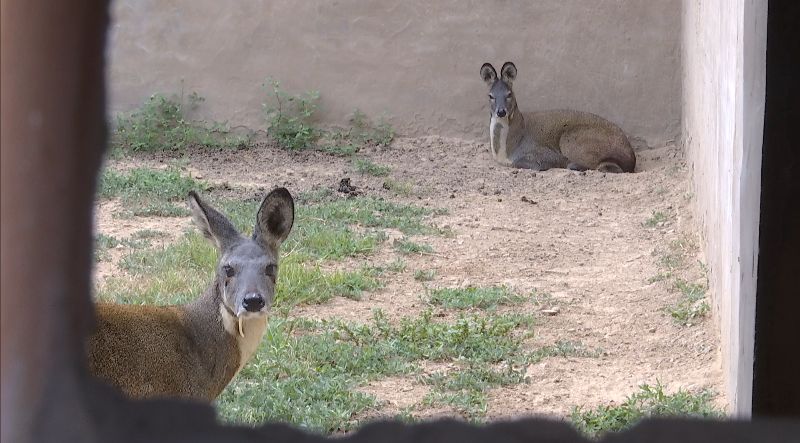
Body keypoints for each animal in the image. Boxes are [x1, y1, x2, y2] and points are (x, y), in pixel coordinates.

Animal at [478, 61, 636, 173]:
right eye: (490, 96)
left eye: (509, 94)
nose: (501, 112)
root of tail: (631, 157)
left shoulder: (543, 152)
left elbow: (525, 163)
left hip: (571, 139)